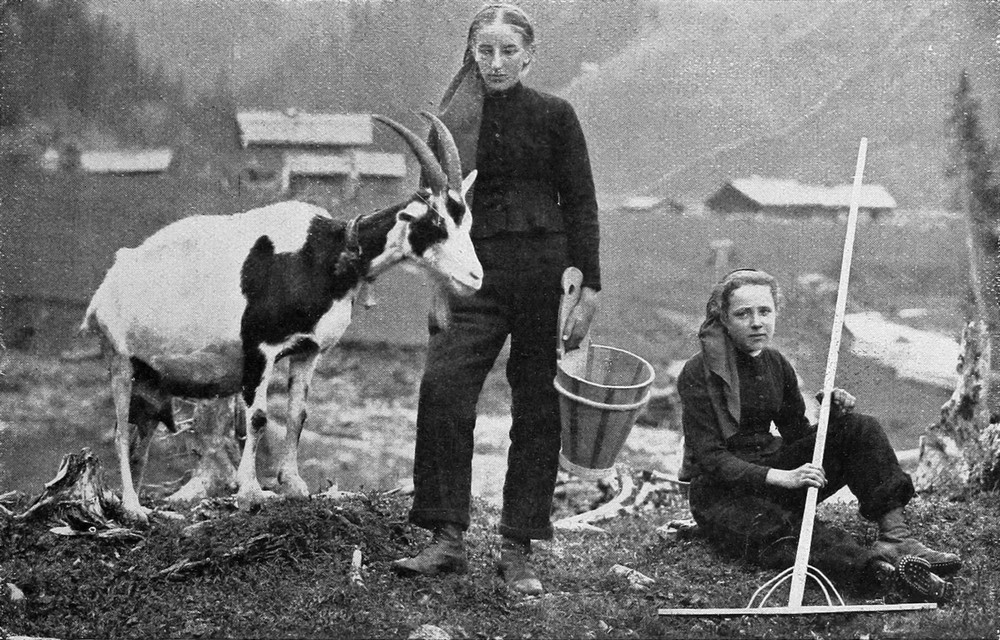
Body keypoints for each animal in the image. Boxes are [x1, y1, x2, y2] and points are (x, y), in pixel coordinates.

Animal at [82, 113, 481, 524]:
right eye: (437, 223)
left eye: (465, 222)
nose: (475, 278)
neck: (327, 252)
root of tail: (109, 283)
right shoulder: (260, 348)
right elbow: (257, 417)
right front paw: (249, 493)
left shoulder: (307, 351)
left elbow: (297, 414)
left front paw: (293, 485)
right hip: (121, 361)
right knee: (120, 433)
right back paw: (133, 509)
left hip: (151, 381)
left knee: (139, 439)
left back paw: (137, 504)